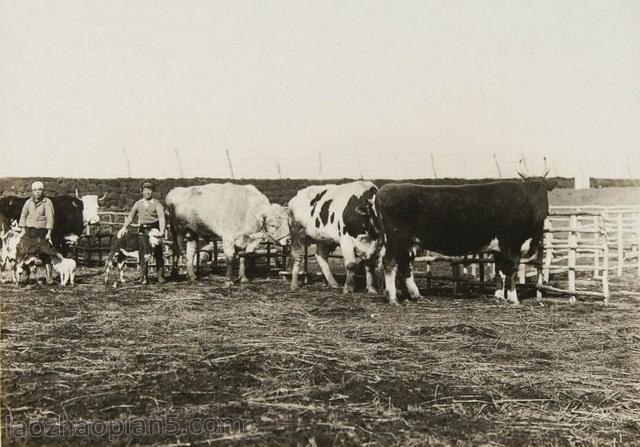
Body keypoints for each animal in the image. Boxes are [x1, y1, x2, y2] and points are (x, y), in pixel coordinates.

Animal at [376, 170, 556, 306]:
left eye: (543, 191)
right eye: (532, 193)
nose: (541, 211)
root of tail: (385, 189)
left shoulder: (499, 249)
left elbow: (499, 272)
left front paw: (499, 296)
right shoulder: (512, 245)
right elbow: (511, 271)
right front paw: (513, 299)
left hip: (409, 243)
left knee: (406, 265)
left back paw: (415, 295)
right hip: (395, 240)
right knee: (390, 264)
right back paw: (393, 298)